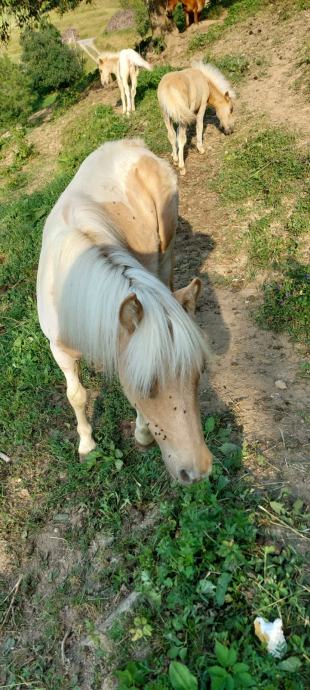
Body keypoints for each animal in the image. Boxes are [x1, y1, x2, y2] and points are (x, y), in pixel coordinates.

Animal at [35, 138, 212, 484]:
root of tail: (132, 145)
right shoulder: (59, 350)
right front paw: (87, 445)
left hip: (166, 252)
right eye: (146, 385)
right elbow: (76, 395)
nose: (197, 472)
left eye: (200, 373)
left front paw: (142, 433)